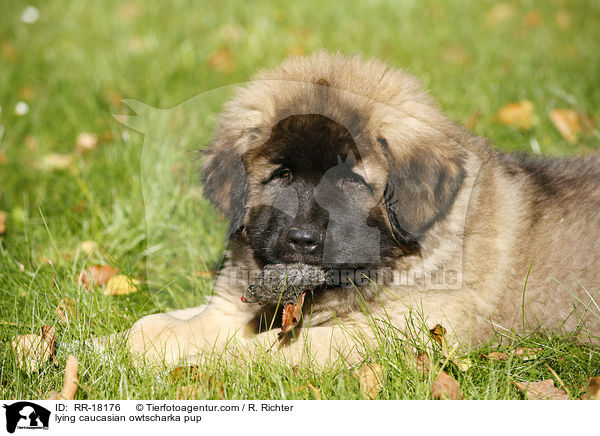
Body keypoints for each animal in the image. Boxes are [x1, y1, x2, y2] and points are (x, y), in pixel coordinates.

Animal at [126, 50, 600, 364]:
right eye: (281, 175)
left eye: (352, 181)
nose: (302, 240)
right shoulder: (227, 308)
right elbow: (147, 326)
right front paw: (118, 351)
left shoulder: (395, 331)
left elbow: (256, 353)